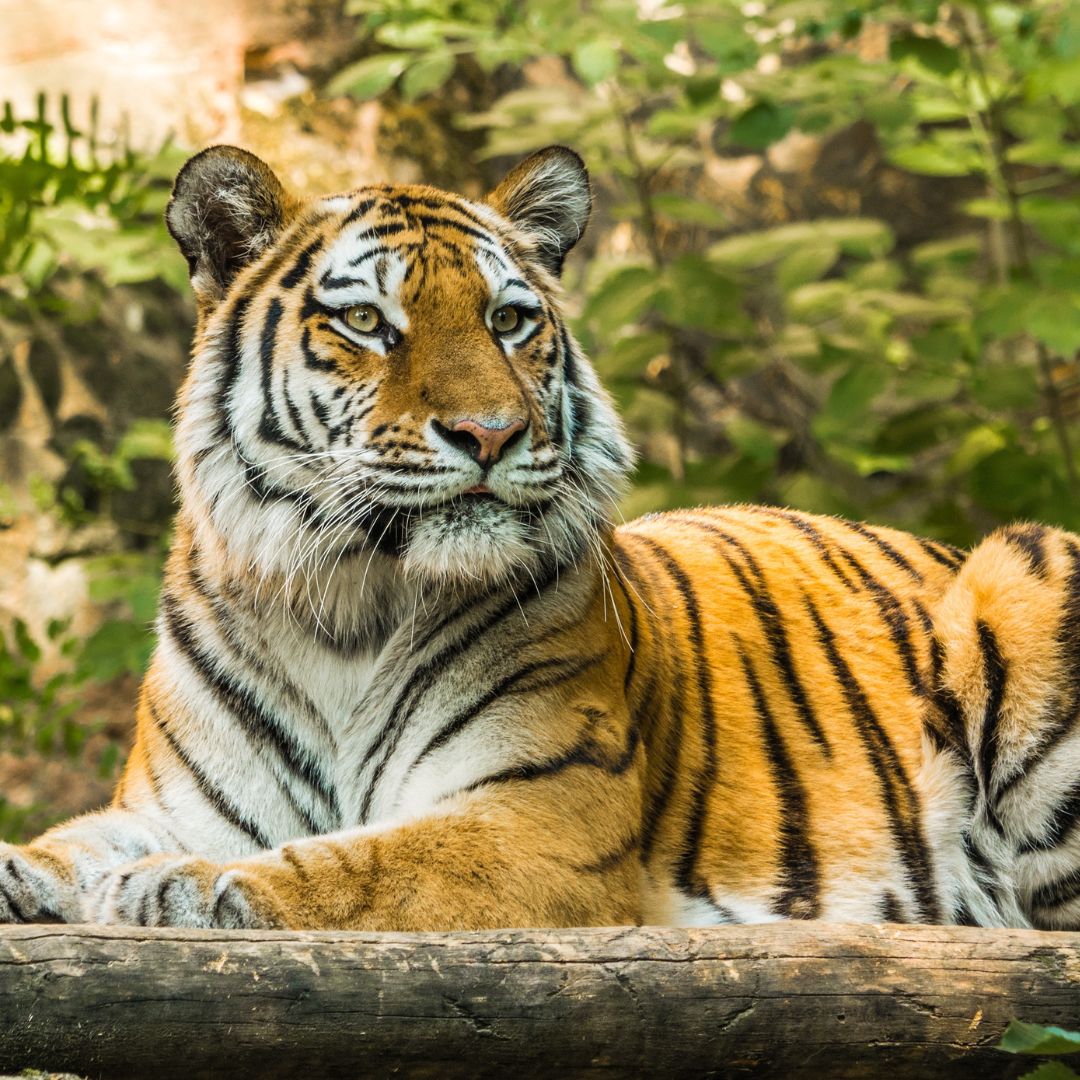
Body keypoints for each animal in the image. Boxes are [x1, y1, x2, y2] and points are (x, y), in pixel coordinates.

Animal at [1, 143, 1078, 933]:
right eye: (368, 322)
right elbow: (77, 841)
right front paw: (36, 872)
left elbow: (367, 861)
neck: (343, 605)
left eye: (510, 320)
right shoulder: (171, 805)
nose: (490, 433)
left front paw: (184, 885)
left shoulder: (541, 816)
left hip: (1024, 568)